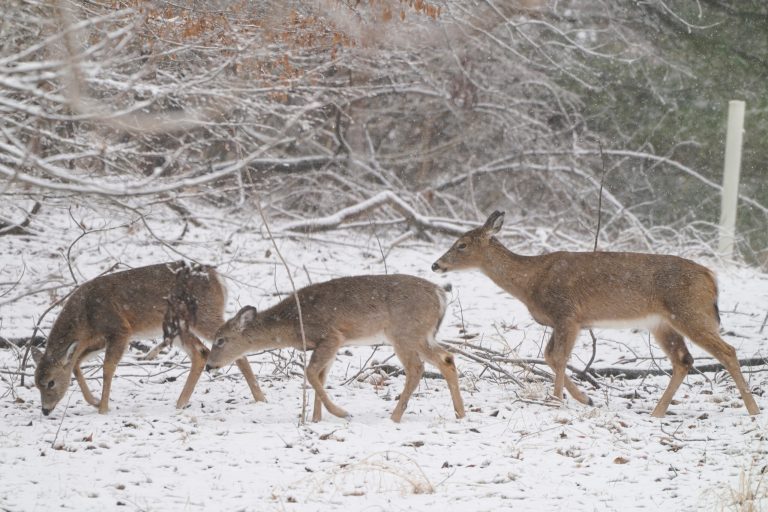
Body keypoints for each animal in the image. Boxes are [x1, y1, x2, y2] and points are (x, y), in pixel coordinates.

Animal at [32, 261, 265, 415]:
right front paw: (95, 401)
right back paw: (180, 403)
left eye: (51, 382)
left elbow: (107, 368)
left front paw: (103, 408)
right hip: (180, 326)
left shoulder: (120, 329)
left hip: (203, 315)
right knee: (200, 353)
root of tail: (219, 279)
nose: (45, 410)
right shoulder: (96, 340)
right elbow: (76, 364)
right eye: (36, 384)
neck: (85, 318)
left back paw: (260, 398)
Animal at [205, 274, 466, 423]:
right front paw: (316, 419)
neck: (293, 323)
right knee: (447, 358)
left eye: (220, 340)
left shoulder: (331, 336)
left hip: (404, 332)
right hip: (421, 335)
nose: (208, 365)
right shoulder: (328, 344)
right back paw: (460, 413)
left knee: (416, 368)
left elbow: (310, 373)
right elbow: (320, 376)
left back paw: (395, 417)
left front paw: (341, 413)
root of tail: (440, 295)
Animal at [432, 211, 760, 418]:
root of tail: (711, 277)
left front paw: (558, 400)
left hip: (691, 312)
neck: (530, 281)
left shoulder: (568, 313)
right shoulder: (563, 320)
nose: (436, 265)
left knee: (727, 351)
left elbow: (558, 357)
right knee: (684, 360)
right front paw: (585, 398)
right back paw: (657, 412)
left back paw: (753, 410)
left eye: (461, 244)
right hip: (662, 323)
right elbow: (550, 357)